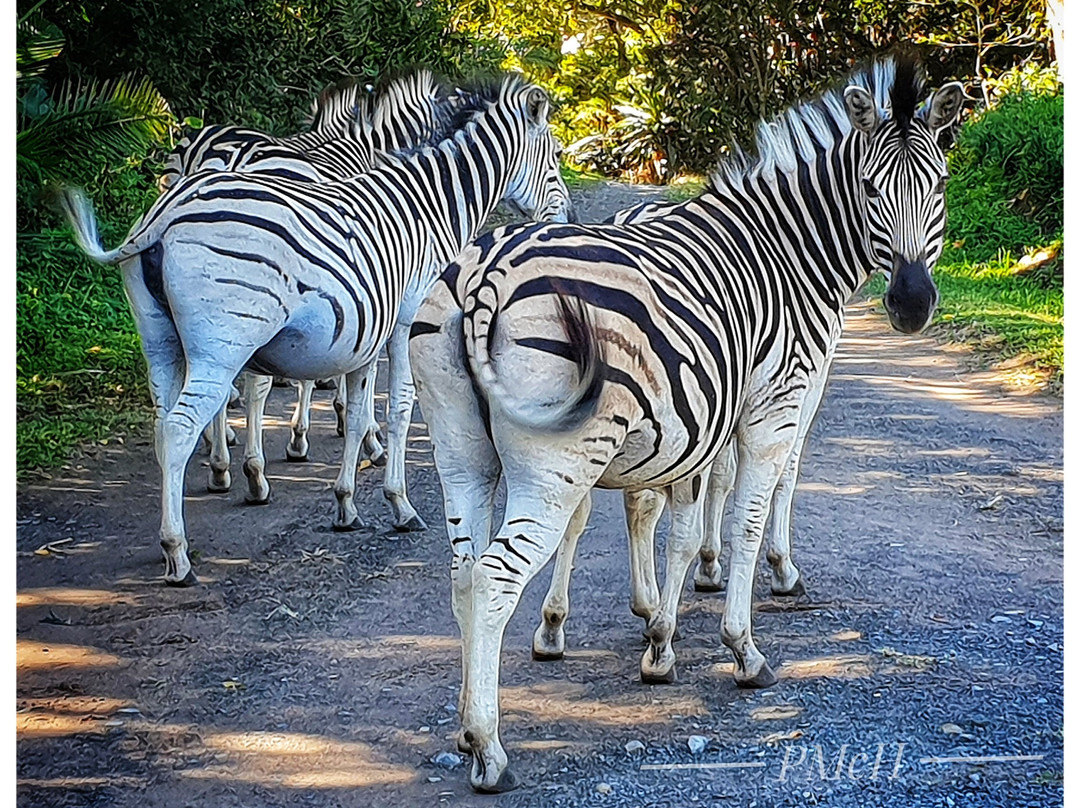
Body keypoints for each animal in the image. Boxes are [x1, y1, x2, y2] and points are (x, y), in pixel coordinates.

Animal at [61, 73, 574, 587]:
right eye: (553, 155)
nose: (565, 219)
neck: (430, 202)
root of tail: (170, 209)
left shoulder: (369, 327)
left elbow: (361, 409)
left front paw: (347, 502)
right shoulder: (407, 320)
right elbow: (399, 409)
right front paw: (399, 503)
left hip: (160, 339)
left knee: (163, 424)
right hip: (225, 341)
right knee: (184, 424)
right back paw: (181, 550)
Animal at [410, 55, 963, 790]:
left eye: (939, 185)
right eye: (871, 189)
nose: (909, 305)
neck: (789, 253)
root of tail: (488, 271)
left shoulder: (702, 415)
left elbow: (676, 523)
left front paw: (661, 638)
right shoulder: (779, 405)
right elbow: (753, 515)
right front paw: (744, 645)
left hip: (461, 450)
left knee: (464, 573)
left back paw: (469, 730)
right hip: (556, 460)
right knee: (498, 577)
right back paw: (489, 747)